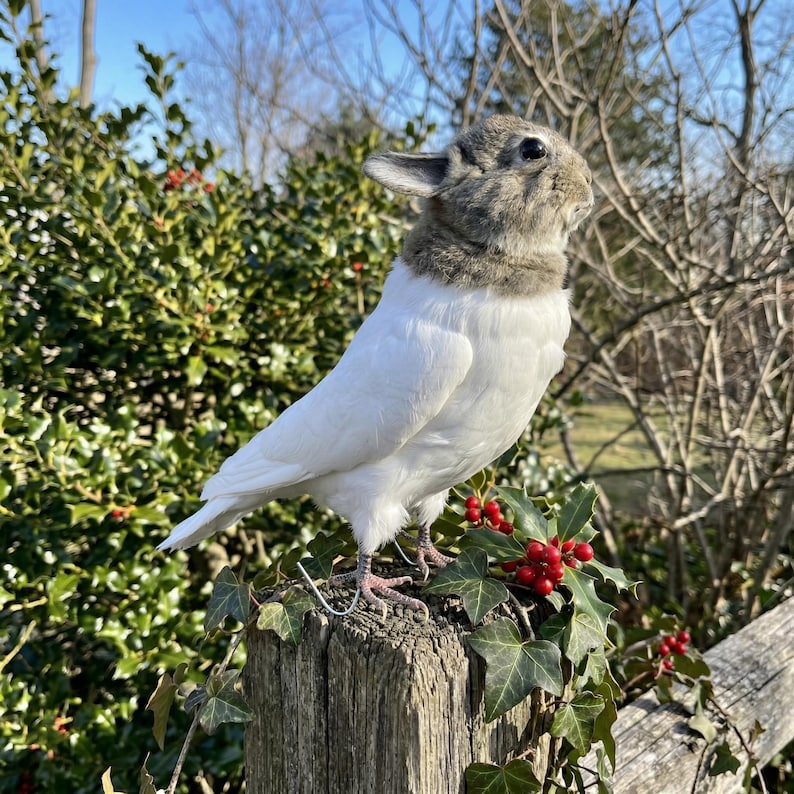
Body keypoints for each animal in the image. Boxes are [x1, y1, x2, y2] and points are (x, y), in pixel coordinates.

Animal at [157, 114, 594, 618]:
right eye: (533, 150)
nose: (589, 187)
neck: (500, 283)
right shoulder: (375, 493)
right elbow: (368, 546)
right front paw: (374, 587)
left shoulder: (434, 490)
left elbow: (425, 526)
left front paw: (437, 560)